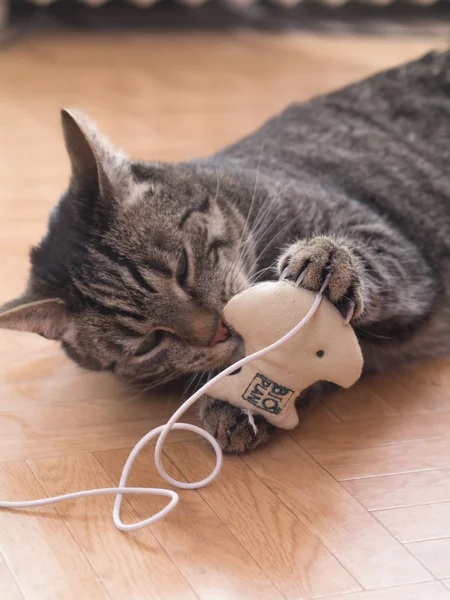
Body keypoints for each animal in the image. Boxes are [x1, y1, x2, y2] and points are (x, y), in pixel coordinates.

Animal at [0, 51, 450, 452]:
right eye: (149, 343)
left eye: (182, 268)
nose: (217, 329)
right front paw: (240, 405)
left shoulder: (393, 248)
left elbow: (362, 262)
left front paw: (326, 259)